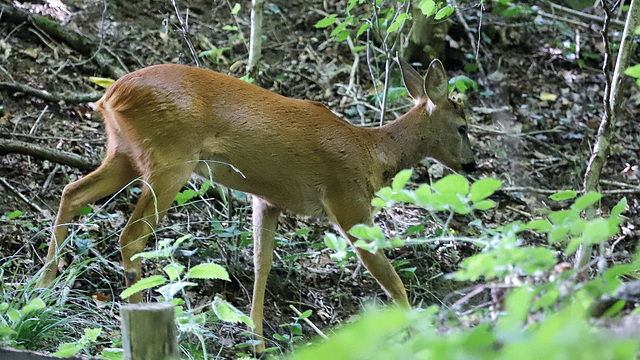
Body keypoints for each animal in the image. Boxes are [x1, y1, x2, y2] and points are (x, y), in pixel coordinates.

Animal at [36, 59, 476, 352]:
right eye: (463, 126)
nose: (472, 165)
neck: (371, 153)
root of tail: (110, 94)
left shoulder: (268, 198)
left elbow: (261, 263)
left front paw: (258, 340)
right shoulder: (347, 199)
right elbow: (389, 277)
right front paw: (420, 335)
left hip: (125, 154)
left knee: (71, 192)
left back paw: (43, 288)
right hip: (171, 159)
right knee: (131, 235)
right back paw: (134, 311)